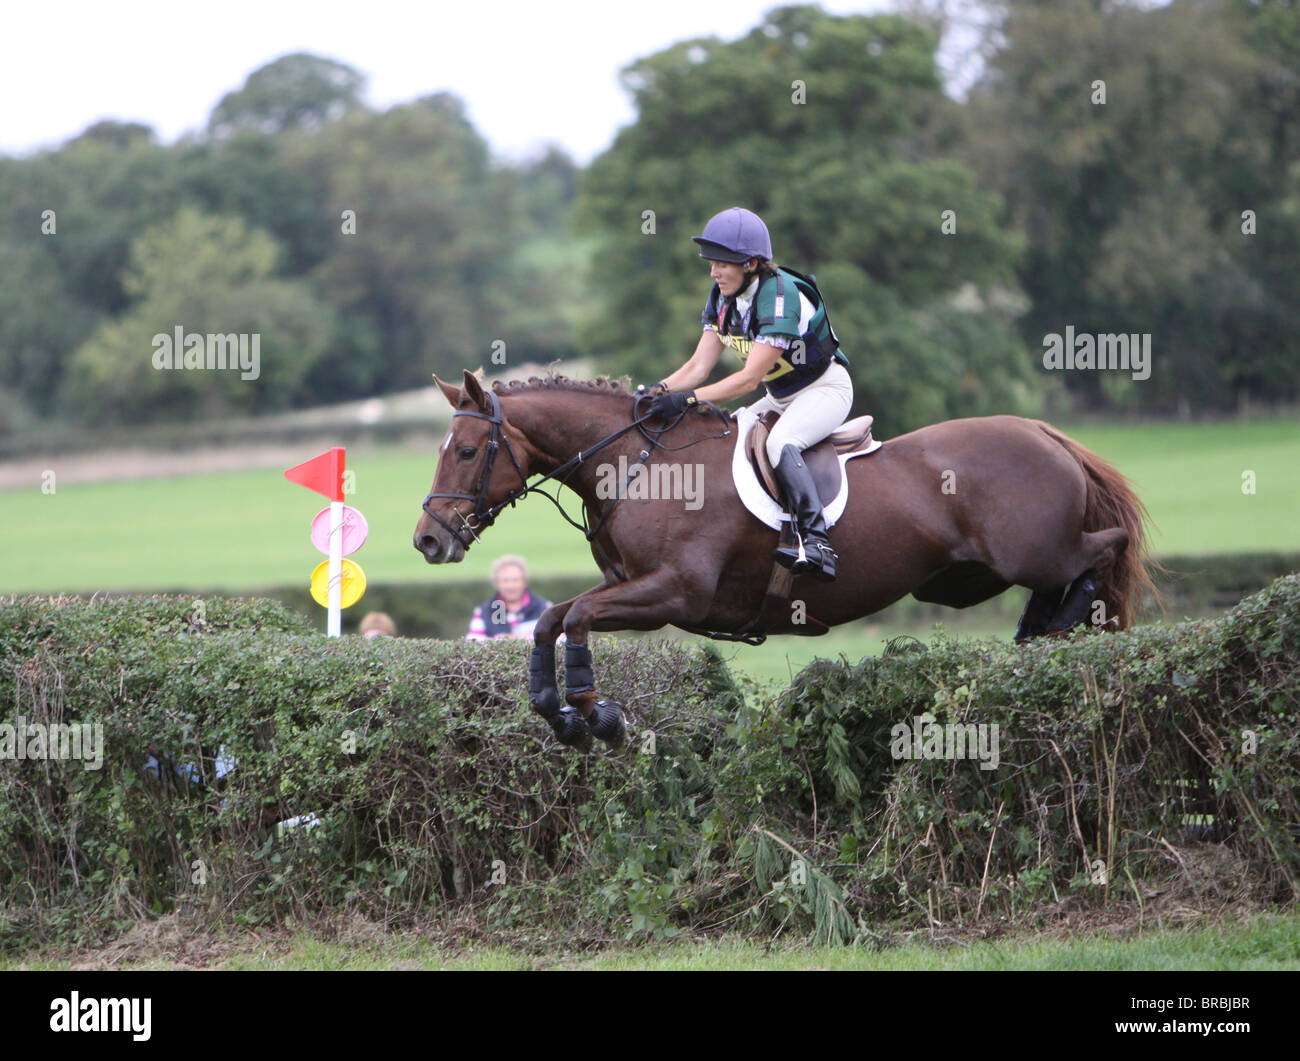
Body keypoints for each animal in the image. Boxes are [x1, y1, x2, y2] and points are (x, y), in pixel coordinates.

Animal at [414, 369, 1155, 751]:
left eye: (469, 451)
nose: (428, 541)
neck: (639, 463)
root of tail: (1045, 432)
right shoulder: (631, 587)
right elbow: (554, 620)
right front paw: (559, 712)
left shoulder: (673, 594)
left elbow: (575, 619)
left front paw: (599, 715)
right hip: (975, 576)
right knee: (1063, 580)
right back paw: (1040, 633)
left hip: (1034, 550)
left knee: (1104, 552)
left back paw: (1066, 626)